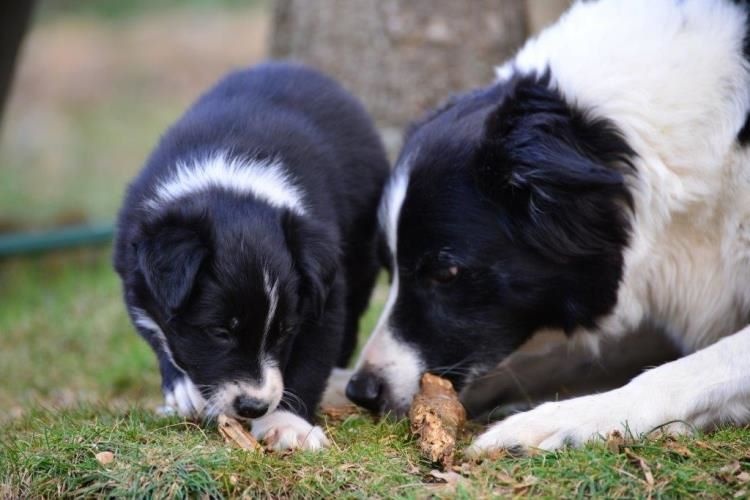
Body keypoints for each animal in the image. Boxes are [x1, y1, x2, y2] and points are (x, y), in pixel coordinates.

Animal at [116, 61, 394, 450]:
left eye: (284, 331)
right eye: (220, 331)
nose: (253, 406)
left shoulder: (326, 294)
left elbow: (312, 359)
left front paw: (288, 424)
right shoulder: (134, 273)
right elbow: (159, 330)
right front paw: (183, 389)